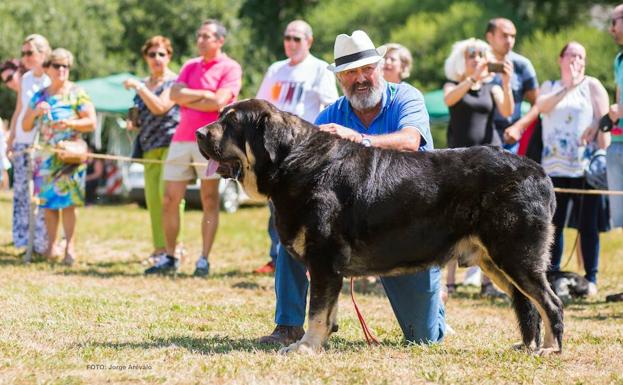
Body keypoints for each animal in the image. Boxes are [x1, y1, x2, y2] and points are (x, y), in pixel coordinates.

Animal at [199, 97, 564, 352]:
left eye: (231, 122)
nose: (199, 132)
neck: (295, 162)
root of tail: (538, 171)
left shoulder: (323, 258)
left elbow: (316, 310)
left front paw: (306, 347)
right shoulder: (327, 265)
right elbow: (327, 310)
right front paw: (320, 340)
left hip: (516, 256)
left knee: (550, 302)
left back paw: (549, 348)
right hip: (495, 261)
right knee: (527, 303)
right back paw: (528, 346)